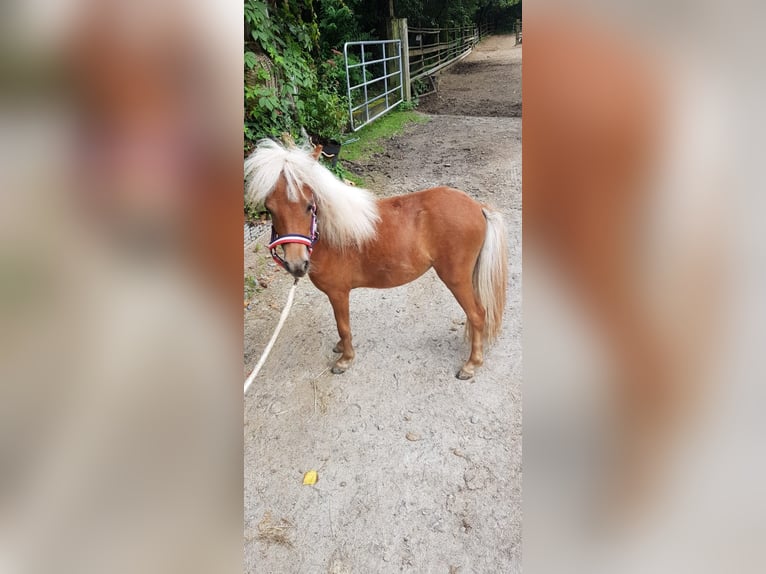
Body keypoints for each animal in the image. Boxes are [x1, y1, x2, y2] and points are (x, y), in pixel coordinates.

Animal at [246, 140, 510, 380]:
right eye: (270, 209)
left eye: (309, 206)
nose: (296, 265)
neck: (331, 233)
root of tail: (477, 206)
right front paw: (341, 349)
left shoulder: (338, 293)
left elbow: (343, 326)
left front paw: (345, 359)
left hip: (456, 279)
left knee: (478, 314)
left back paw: (471, 365)